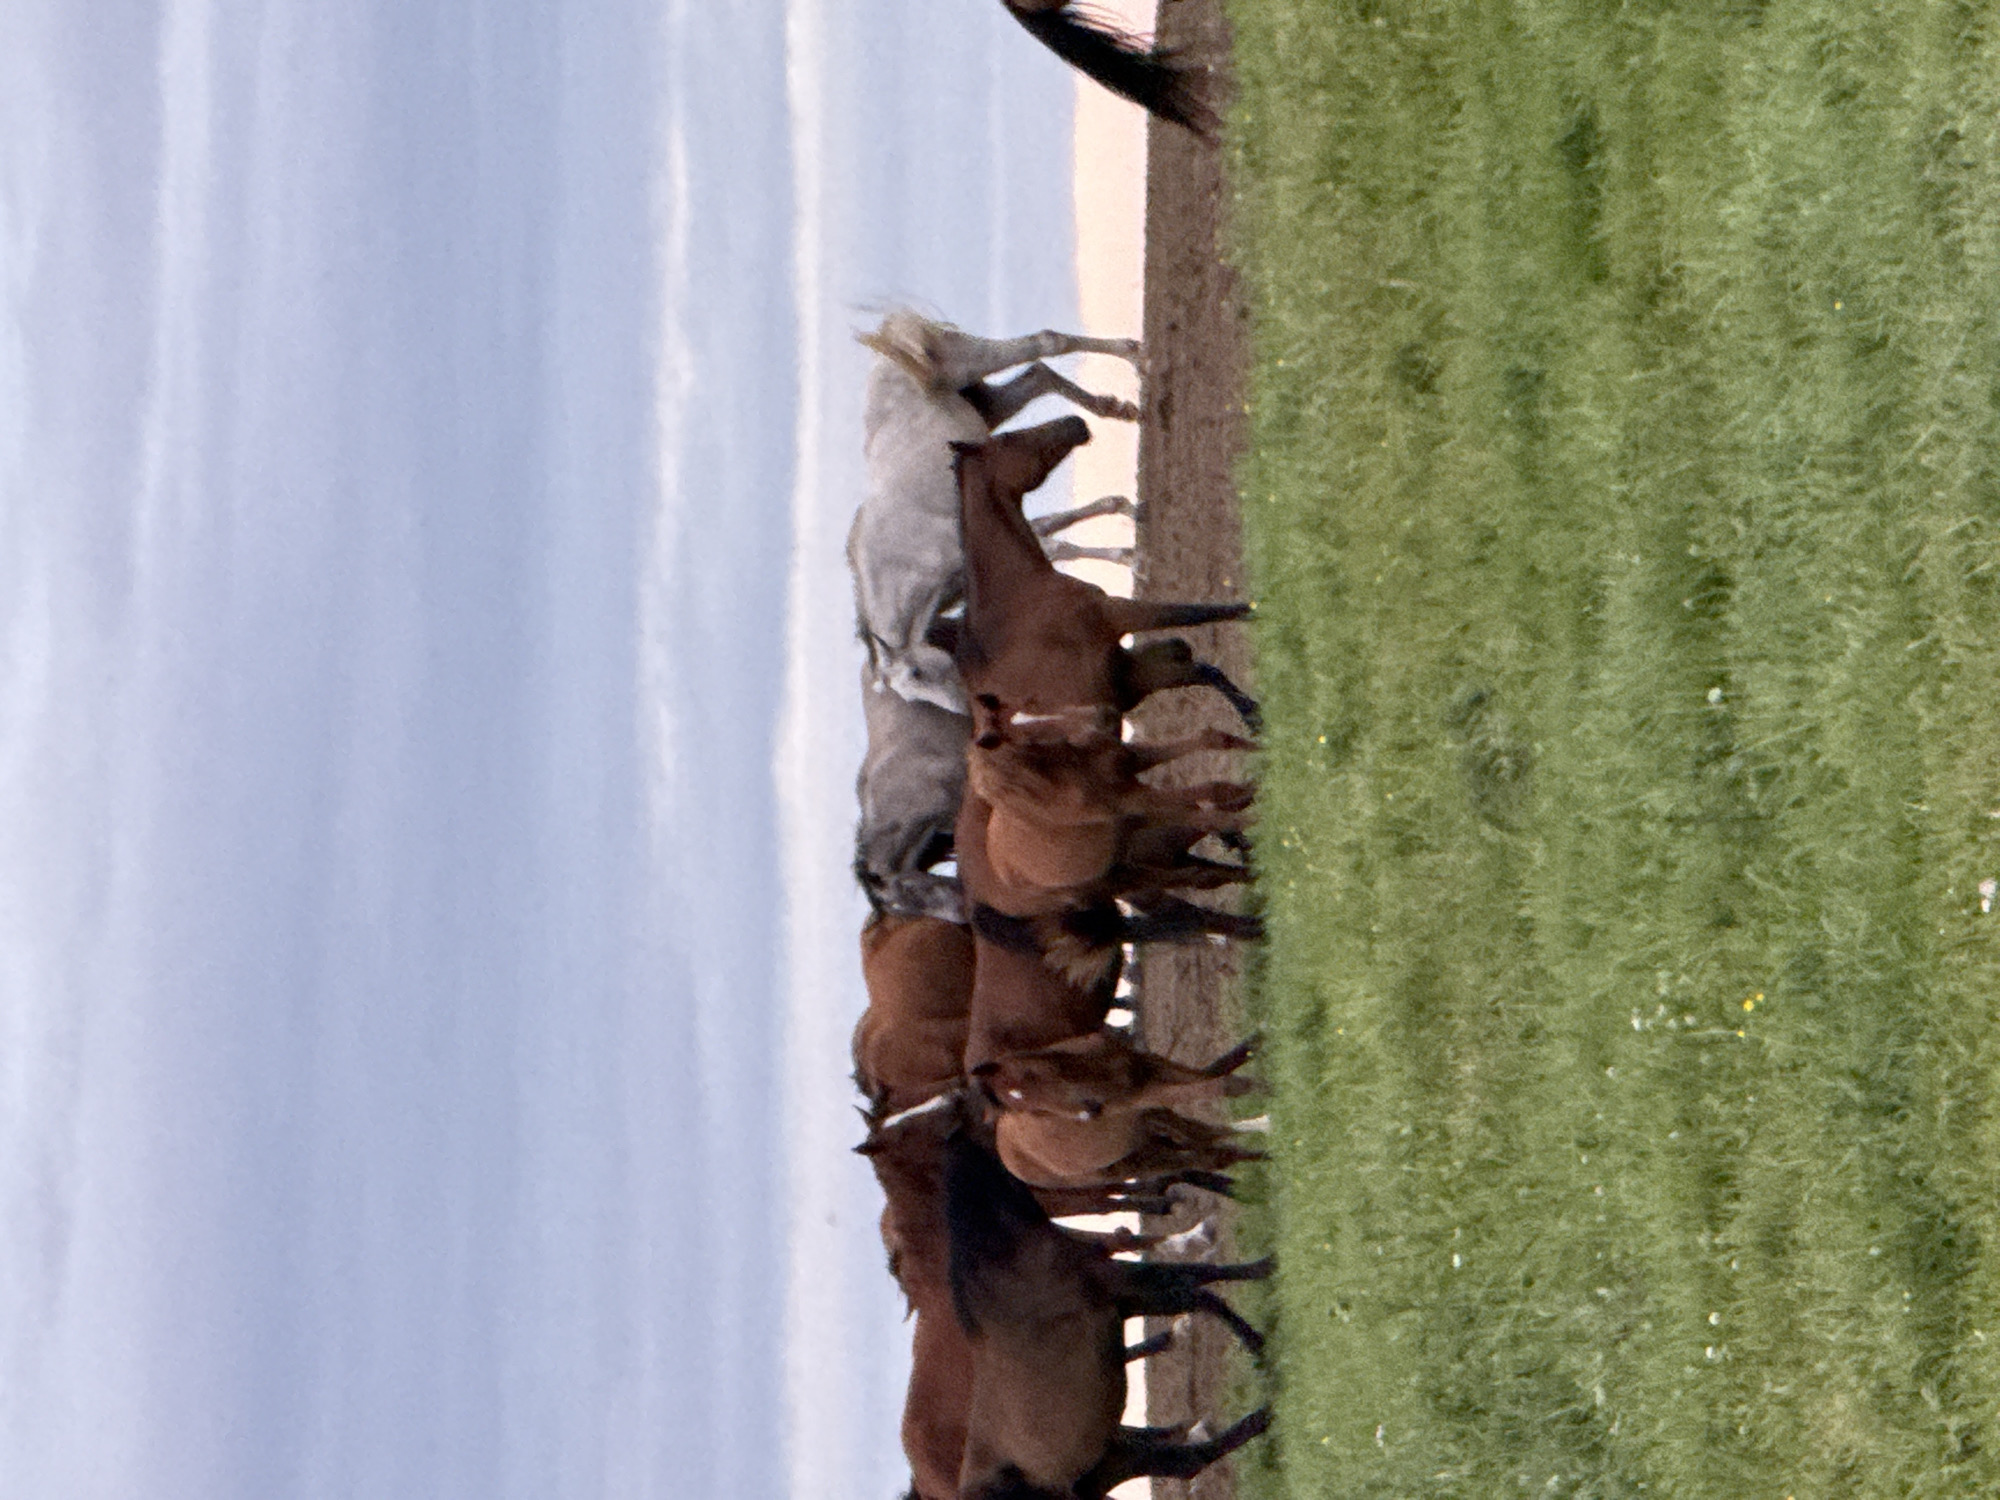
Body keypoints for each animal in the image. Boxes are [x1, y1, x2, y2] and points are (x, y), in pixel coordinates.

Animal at [944, 1122, 1272, 1500]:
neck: (1003, 1256)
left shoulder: (1124, 1291)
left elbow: (1203, 1280)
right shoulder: (1119, 1284)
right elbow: (1202, 1293)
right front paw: (1259, 1343)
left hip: (1105, 1465)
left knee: (1184, 1463)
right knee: (1189, 1461)